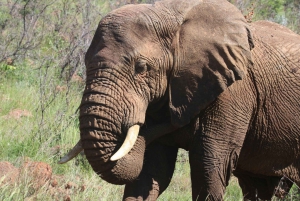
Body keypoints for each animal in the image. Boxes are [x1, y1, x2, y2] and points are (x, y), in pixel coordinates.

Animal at [58, 0, 300, 200]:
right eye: (85, 63)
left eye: (142, 68)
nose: (175, 118)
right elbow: (152, 170)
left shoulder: (233, 94)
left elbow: (209, 166)